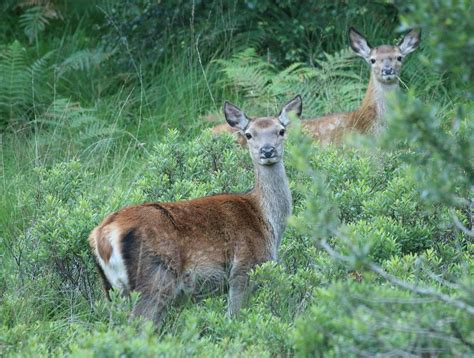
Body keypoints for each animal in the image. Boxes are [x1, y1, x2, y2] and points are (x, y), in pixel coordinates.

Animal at [87, 95, 302, 324]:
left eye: (281, 130)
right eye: (249, 134)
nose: (267, 151)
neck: (266, 219)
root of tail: (103, 235)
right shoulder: (243, 267)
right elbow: (234, 317)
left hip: (111, 288)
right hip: (155, 277)